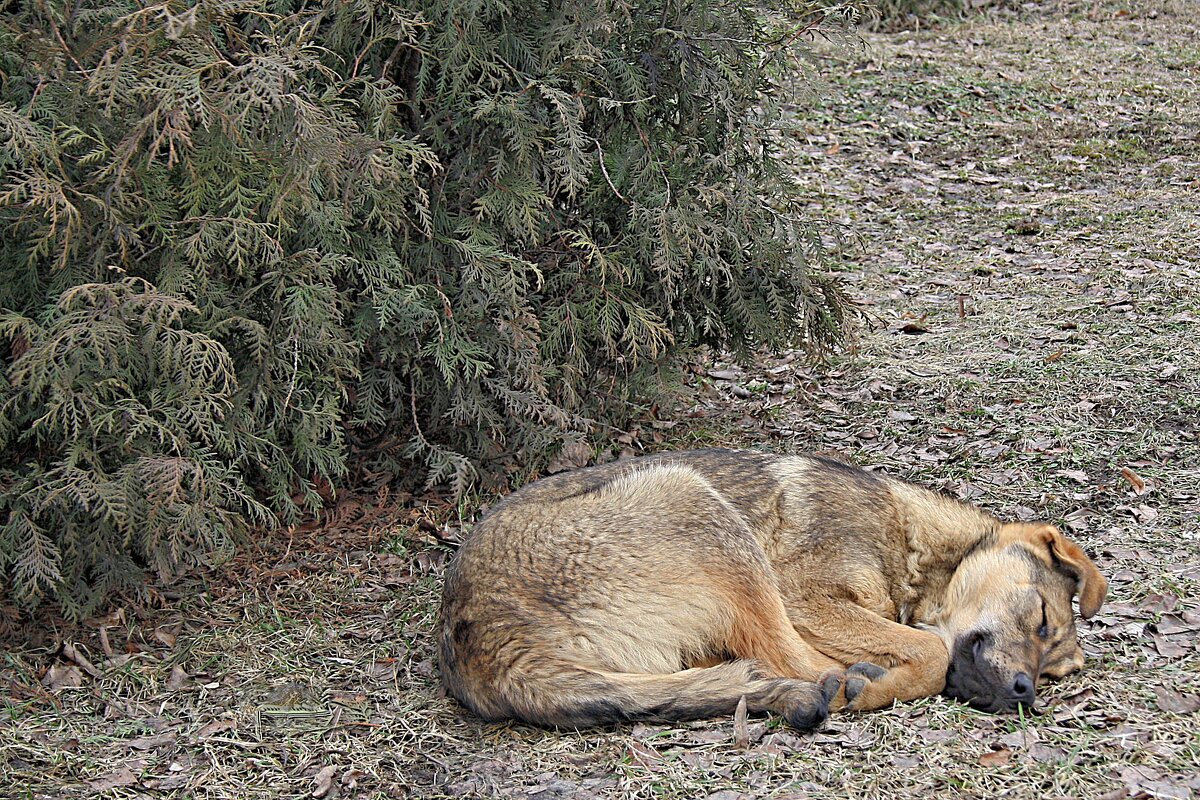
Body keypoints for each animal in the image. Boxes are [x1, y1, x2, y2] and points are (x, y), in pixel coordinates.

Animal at [441, 450, 1104, 734]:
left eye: (1055, 672)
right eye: (1041, 619)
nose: (1024, 693)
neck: (911, 539)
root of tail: (478, 638)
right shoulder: (808, 596)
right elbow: (932, 651)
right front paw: (876, 683)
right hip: (700, 508)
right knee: (792, 661)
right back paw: (847, 684)